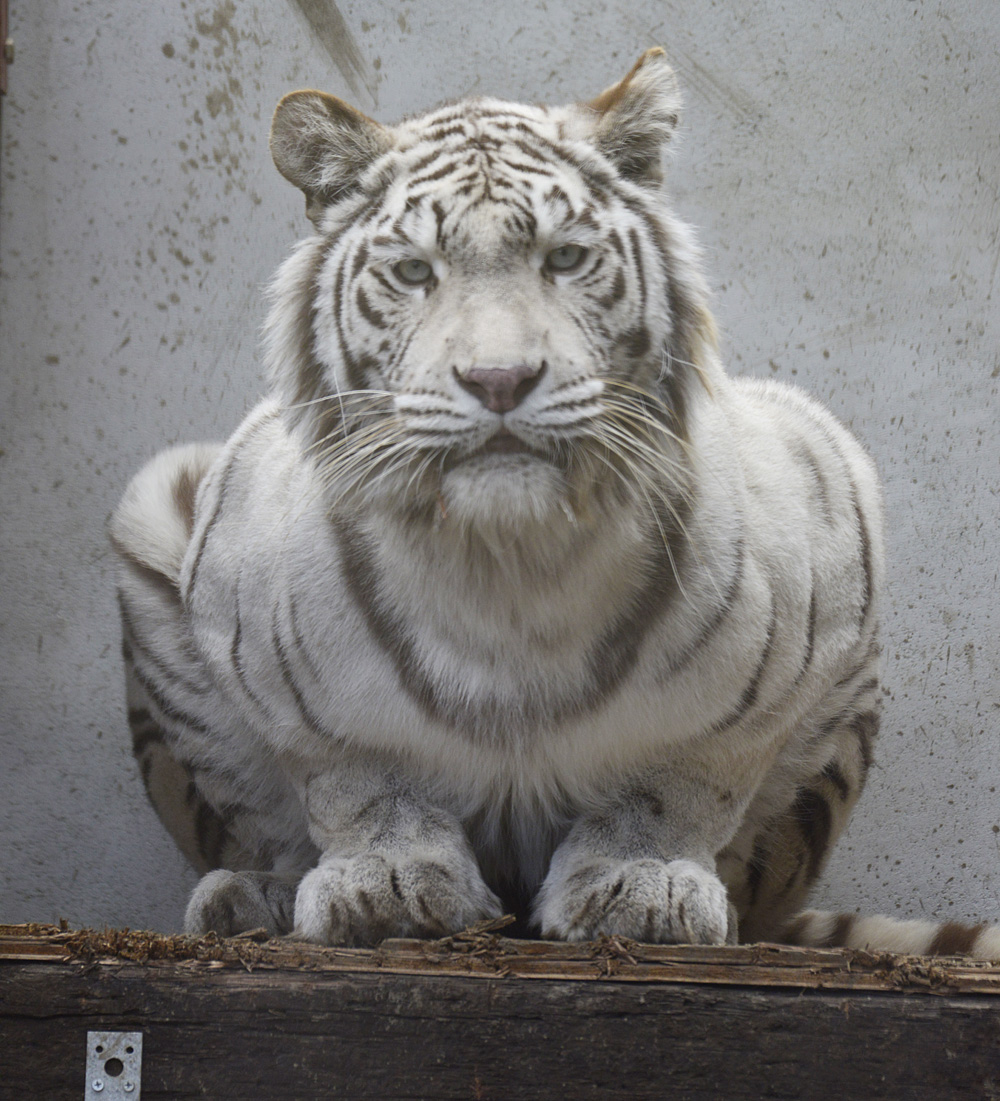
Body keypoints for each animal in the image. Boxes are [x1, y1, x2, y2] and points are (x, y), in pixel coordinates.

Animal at [109, 51, 1000, 960]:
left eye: (565, 259)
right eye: (415, 271)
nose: (500, 379)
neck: (509, 561)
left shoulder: (773, 652)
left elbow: (676, 785)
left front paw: (642, 884)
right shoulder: (292, 691)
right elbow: (360, 783)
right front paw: (385, 881)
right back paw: (257, 895)